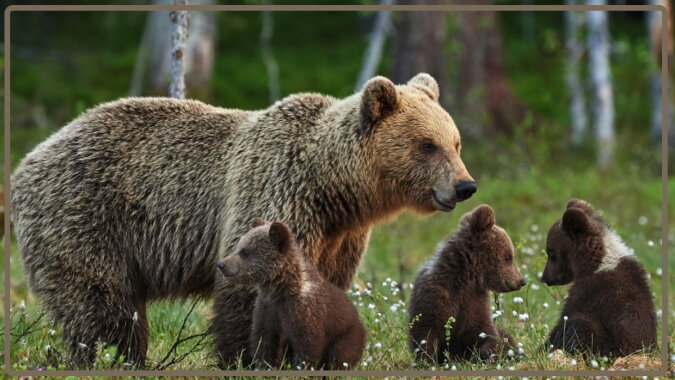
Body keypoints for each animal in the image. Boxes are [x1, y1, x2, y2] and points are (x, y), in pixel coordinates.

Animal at [9, 72, 476, 366]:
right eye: (427, 144)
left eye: (456, 143)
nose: (465, 186)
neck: (334, 189)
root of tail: (27, 161)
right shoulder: (277, 193)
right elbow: (250, 288)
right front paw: (251, 358)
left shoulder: (340, 237)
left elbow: (324, 287)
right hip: (85, 218)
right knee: (100, 302)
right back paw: (117, 358)